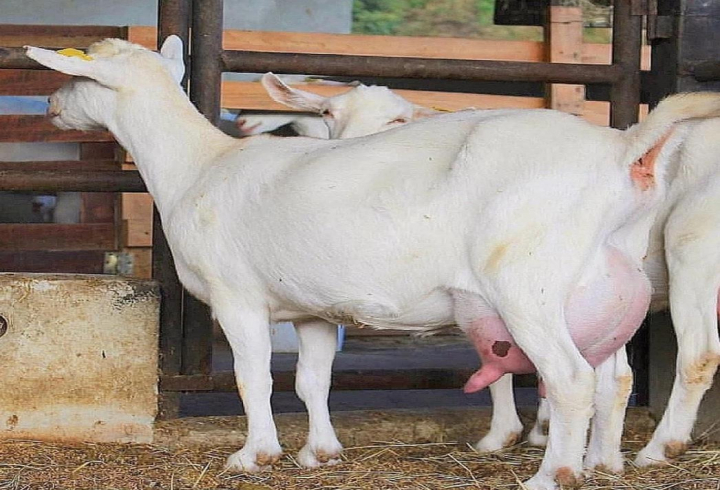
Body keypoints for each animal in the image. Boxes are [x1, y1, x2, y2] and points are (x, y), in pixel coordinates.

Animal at [28, 36, 720, 489]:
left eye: (82, 75)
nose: (51, 107)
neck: (197, 165)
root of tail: (625, 148)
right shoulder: (310, 310)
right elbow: (311, 380)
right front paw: (321, 453)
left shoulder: (237, 296)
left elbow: (254, 378)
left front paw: (255, 455)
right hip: (610, 278)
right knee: (612, 378)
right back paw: (605, 461)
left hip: (532, 280)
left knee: (576, 378)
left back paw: (558, 474)